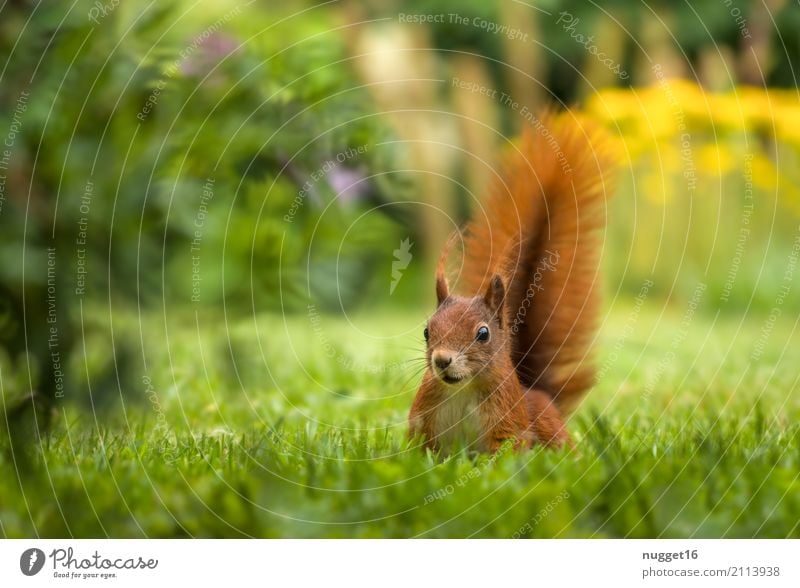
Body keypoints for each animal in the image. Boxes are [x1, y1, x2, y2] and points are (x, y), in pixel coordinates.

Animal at [410, 115, 616, 454]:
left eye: (483, 334)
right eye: (427, 331)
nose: (441, 360)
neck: (462, 389)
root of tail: (534, 391)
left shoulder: (508, 426)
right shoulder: (423, 426)